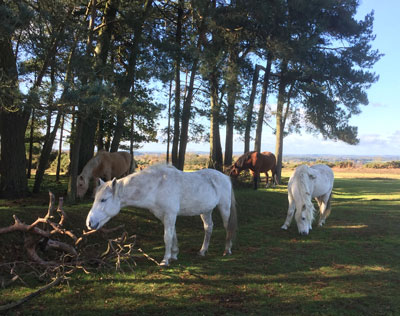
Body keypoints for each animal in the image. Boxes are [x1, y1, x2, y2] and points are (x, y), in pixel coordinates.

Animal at [86, 164, 238, 266]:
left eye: (103, 200)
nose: (89, 223)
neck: (157, 186)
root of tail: (225, 177)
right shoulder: (164, 216)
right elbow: (173, 235)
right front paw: (174, 255)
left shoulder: (170, 214)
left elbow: (167, 237)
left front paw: (165, 260)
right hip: (206, 210)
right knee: (208, 227)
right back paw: (202, 251)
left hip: (224, 208)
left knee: (227, 227)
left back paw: (227, 250)